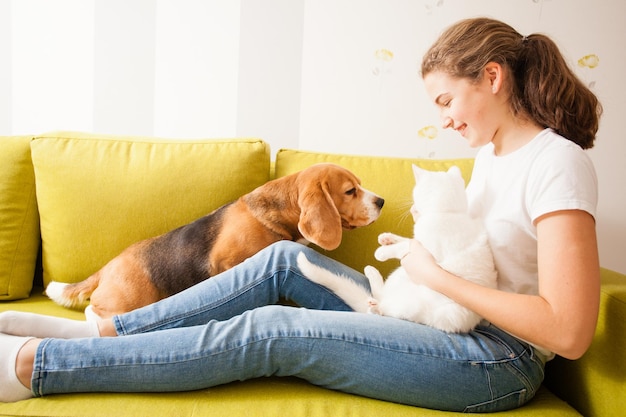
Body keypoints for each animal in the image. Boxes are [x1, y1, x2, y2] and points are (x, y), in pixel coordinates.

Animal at [46, 162, 382, 318]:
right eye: (350, 191)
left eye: (360, 185)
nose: (381, 201)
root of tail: (107, 267)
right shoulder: (227, 263)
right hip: (127, 301)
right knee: (94, 310)